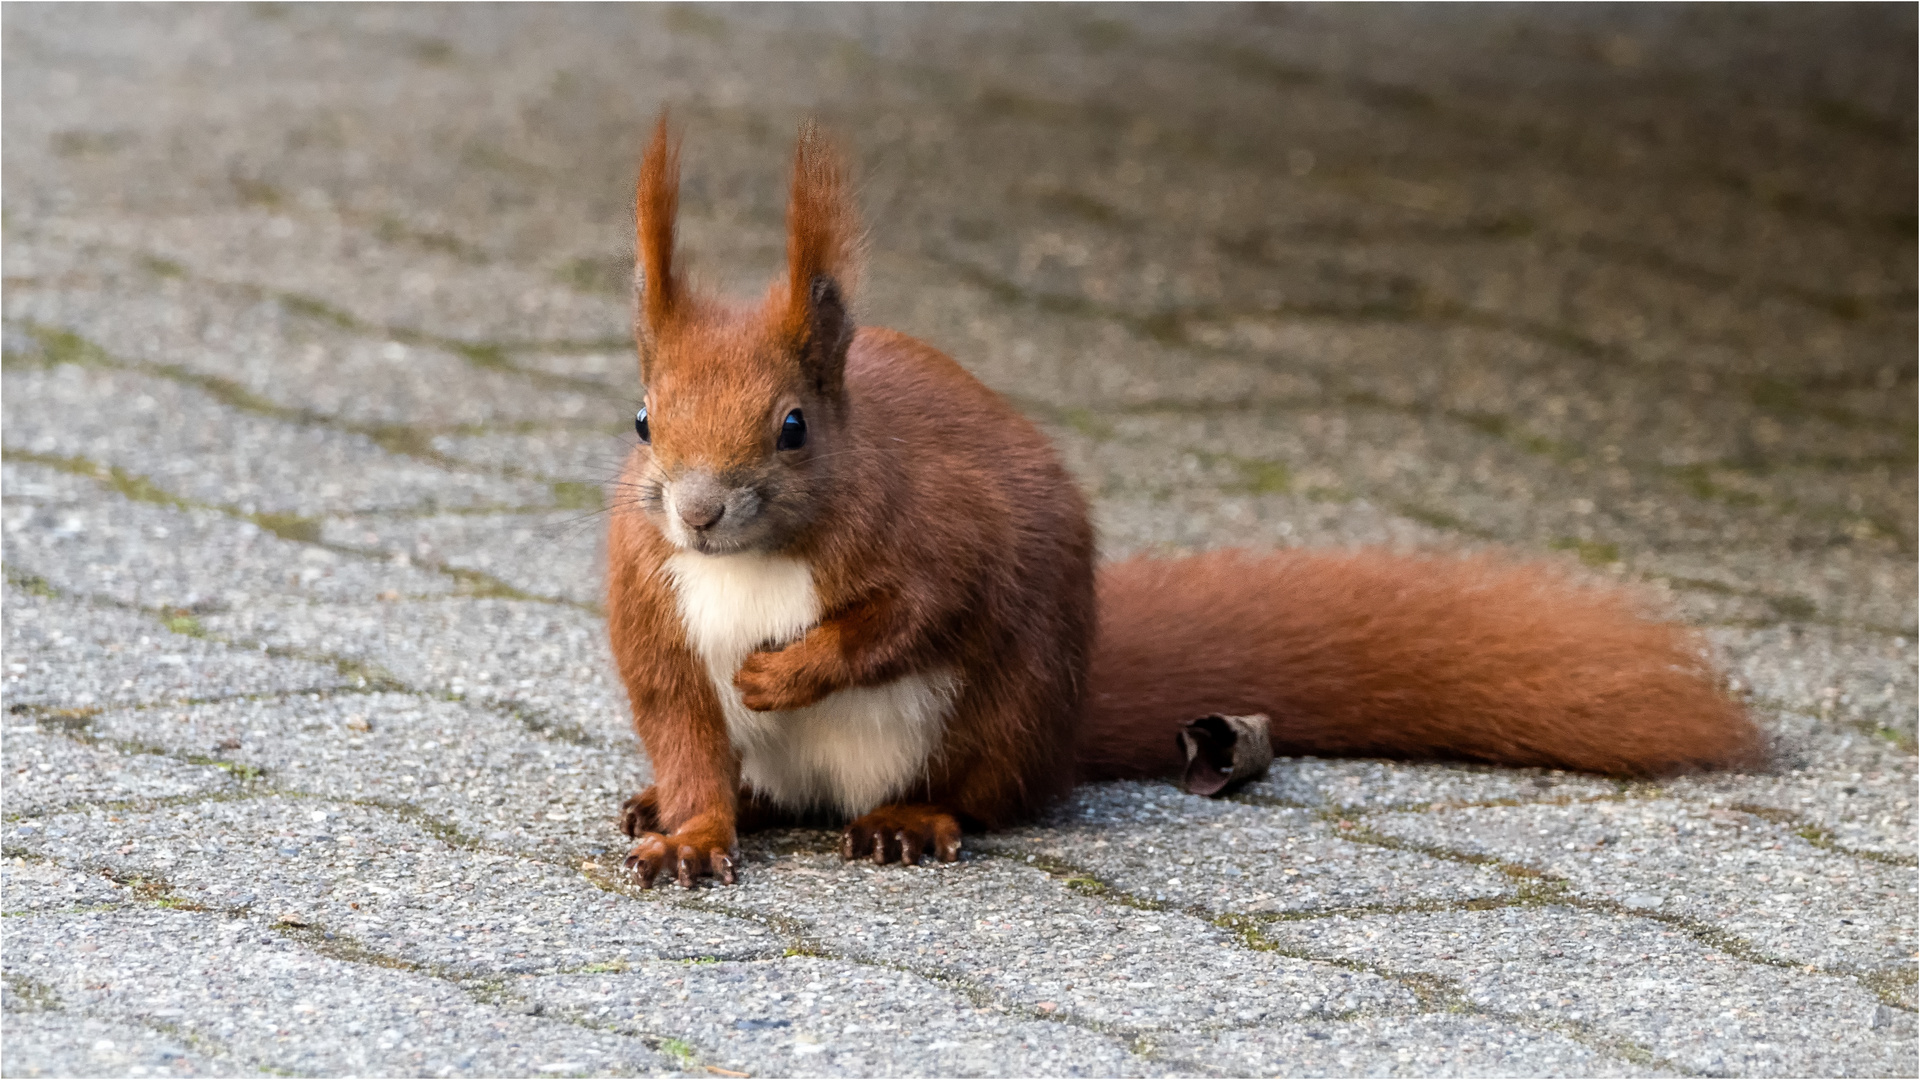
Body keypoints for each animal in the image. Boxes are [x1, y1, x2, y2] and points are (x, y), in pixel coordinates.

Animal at [606, 117, 1758, 883]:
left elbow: (914, 615)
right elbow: (688, 736)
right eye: (644, 420)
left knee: (985, 796)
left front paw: (785, 673)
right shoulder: (652, 605)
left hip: (999, 712)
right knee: (739, 779)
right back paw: (688, 802)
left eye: (795, 427)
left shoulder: (940, 531)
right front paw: (693, 835)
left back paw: (912, 819)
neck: (746, 568)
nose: (698, 512)